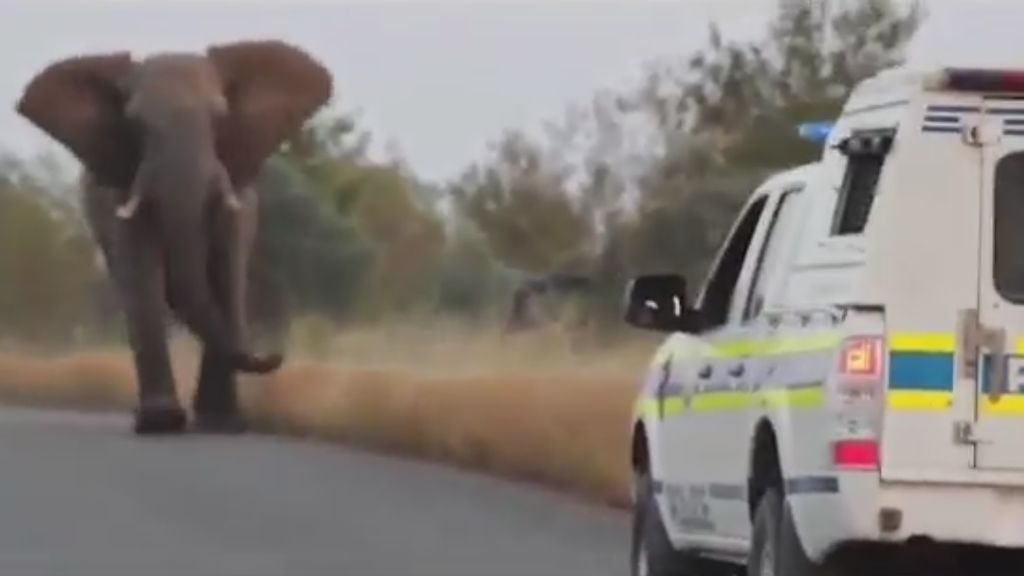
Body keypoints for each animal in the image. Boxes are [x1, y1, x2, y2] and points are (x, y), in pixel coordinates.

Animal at [14, 40, 331, 432]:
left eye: (220, 118)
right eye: (135, 124)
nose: (276, 355)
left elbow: (226, 270)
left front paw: (222, 424)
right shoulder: (123, 191)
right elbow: (142, 270)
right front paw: (161, 422)